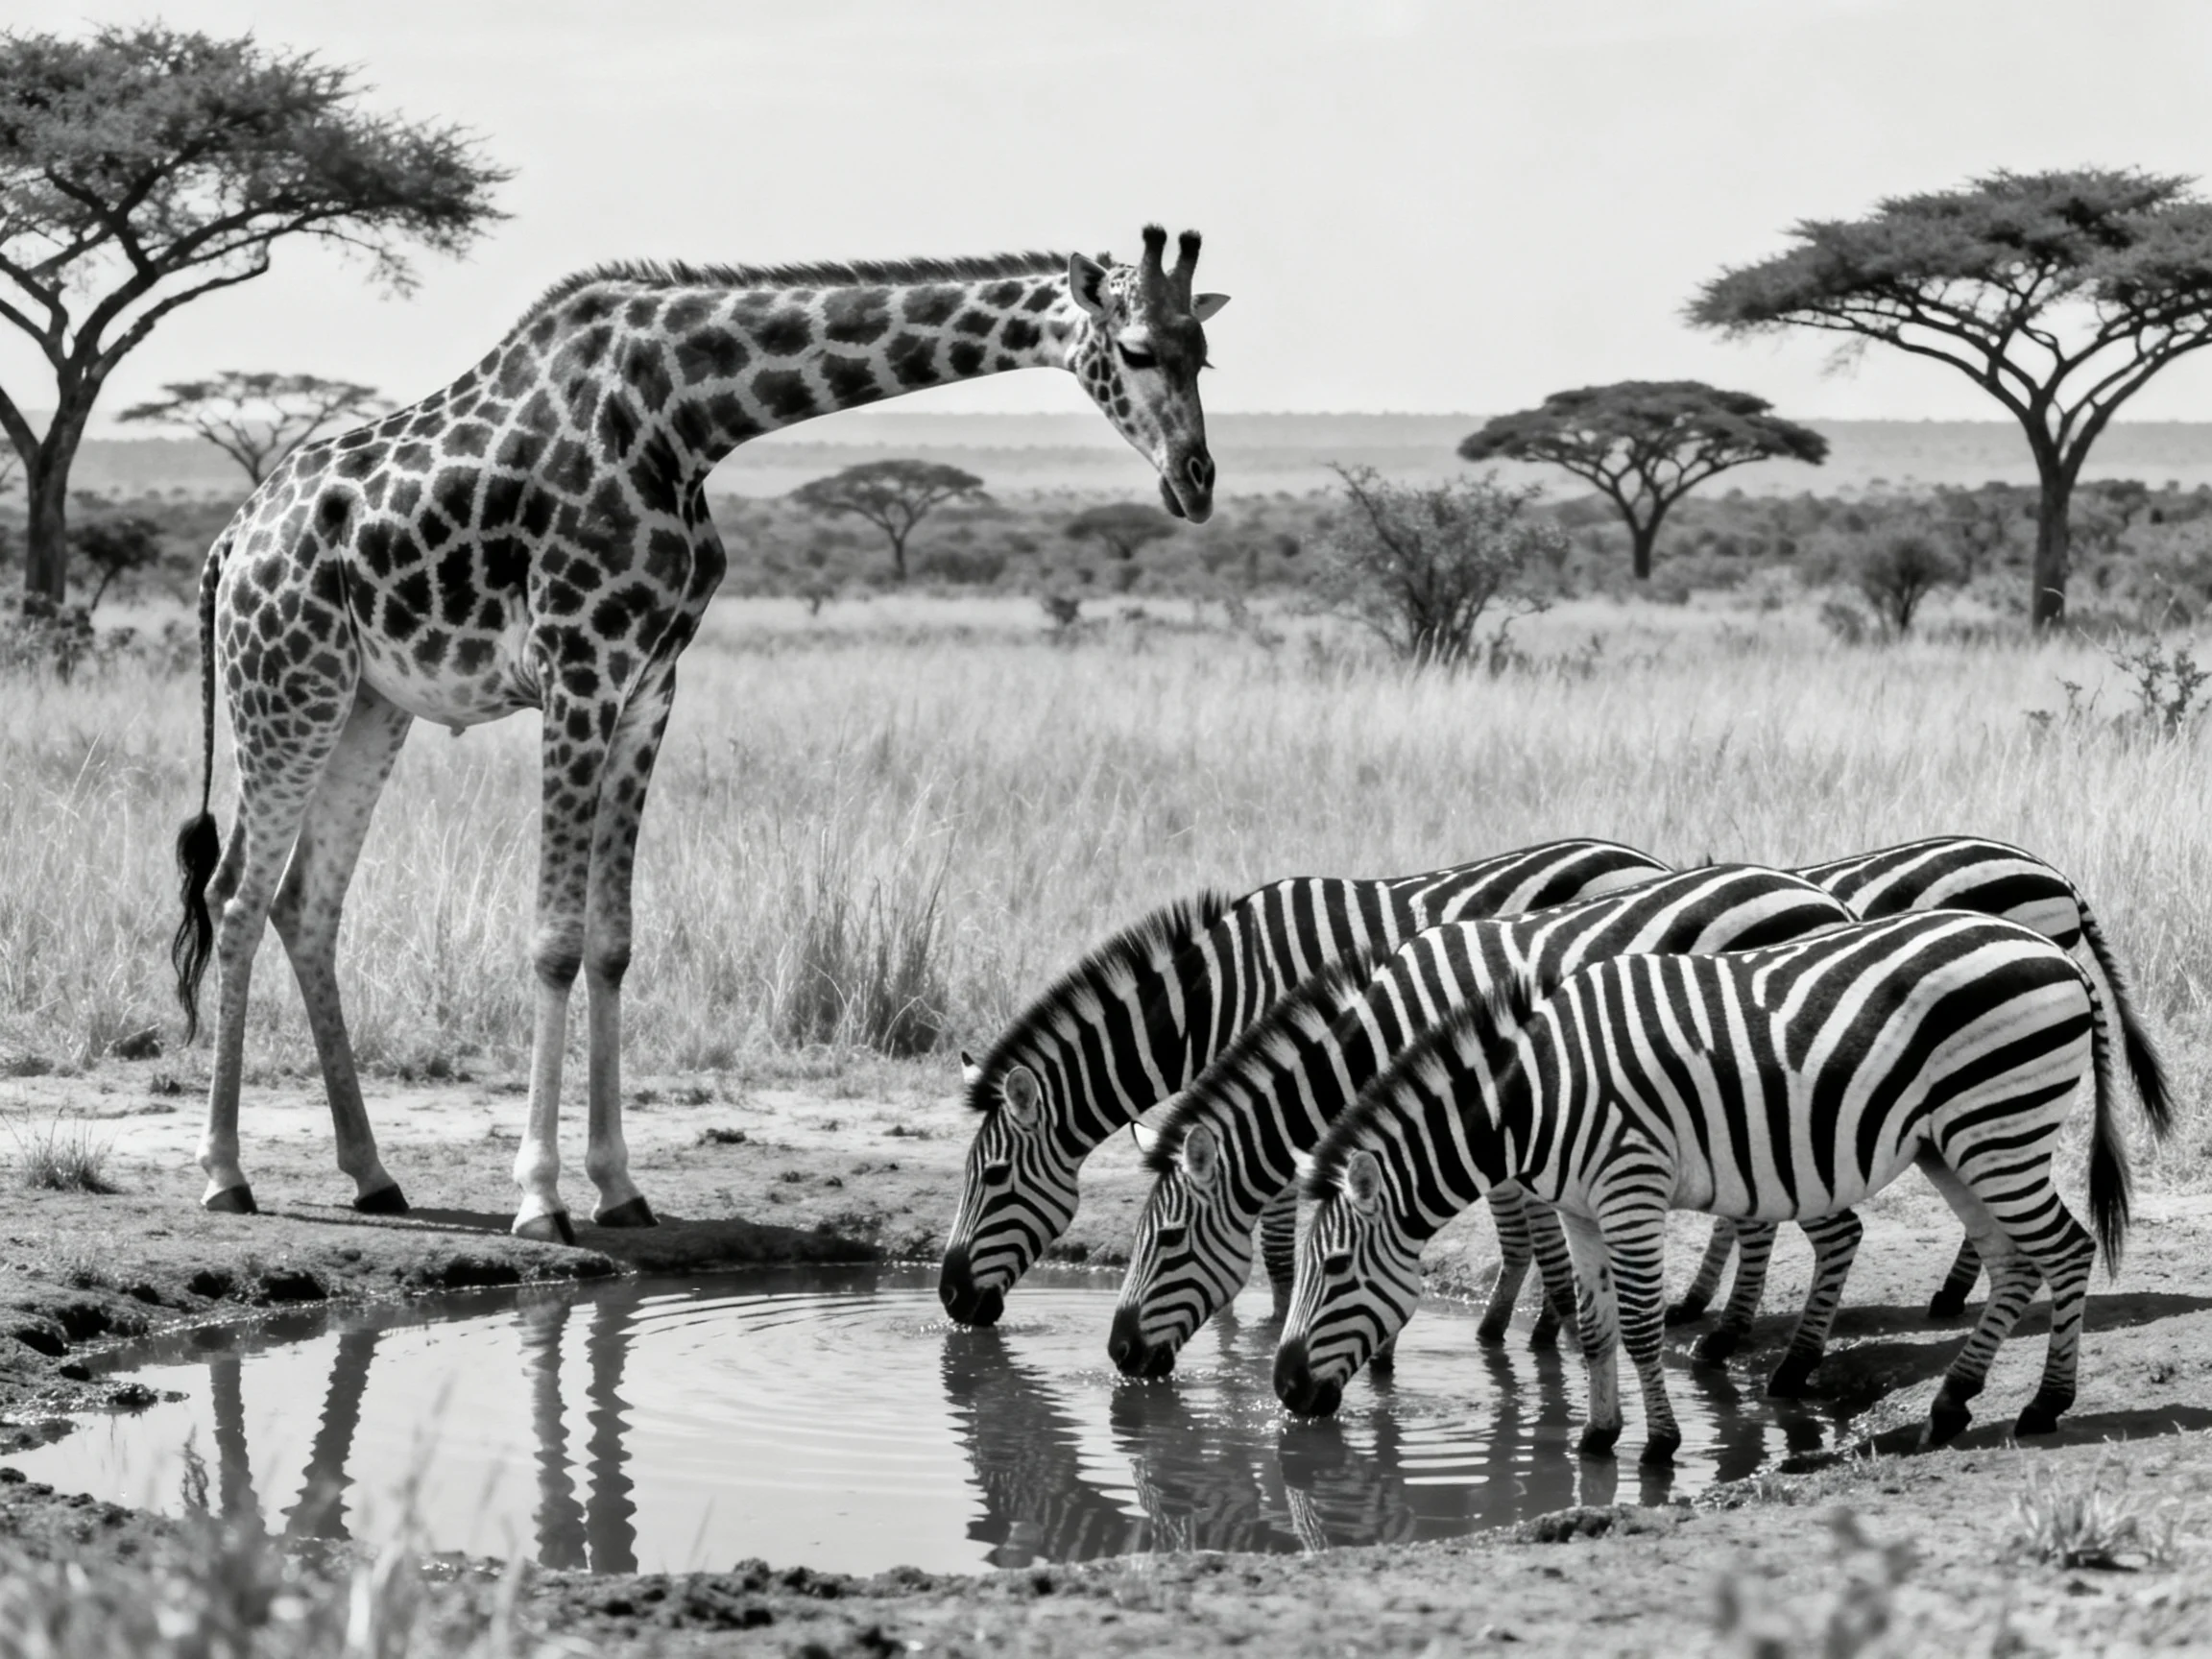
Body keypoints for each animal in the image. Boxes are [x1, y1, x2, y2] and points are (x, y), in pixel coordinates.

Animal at [170, 226, 1227, 1242]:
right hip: (286, 681)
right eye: (1138, 351)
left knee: (306, 903)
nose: (1197, 482)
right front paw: (540, 1197)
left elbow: (611, 943)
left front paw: (618, 1187)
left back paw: (372, 1175)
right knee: (235, 897)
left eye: (1203, 354)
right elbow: (554, 940)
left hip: (367, 704)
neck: (682, 416)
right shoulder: (579, 666)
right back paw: (226, 1175)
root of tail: (233, 538)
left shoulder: (649, 687)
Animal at [938, 839, 1670, 1326]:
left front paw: (1261, 1331)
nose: (948, 1297)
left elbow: (1277, 1242)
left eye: (993, 1177)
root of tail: (1643, 859)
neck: (1214, 997)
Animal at [1109, 863, 1857, 1380]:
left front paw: (1538, 1345)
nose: (1119, 1354)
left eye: (1167, 1241)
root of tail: (1825, 896)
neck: (1384, 1031)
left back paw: (1735, 1337)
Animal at [1277, 911, 2128, 1462]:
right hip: (1951, 1144)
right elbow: (1595, 1330)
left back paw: (2044, 1406)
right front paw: (1595, 1439)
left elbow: (1642, 1328)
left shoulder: (1630, 1190)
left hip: (1998, 1126)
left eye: (1338, 1268)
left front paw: (1659, 1446)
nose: (1282, 1391)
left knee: (2066, 1249)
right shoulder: (1581, 1211)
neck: (1536, 1096)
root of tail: (2053, 952)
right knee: (2013, 1261)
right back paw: (1952, 1405)